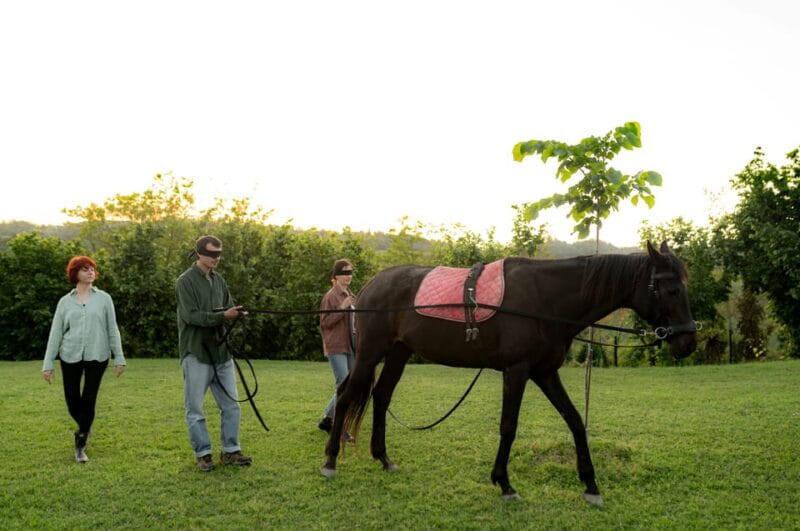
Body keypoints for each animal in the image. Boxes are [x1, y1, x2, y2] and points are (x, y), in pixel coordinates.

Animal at [320, 241, 697, 505]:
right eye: (672, 289)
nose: (688, 342)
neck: (546, 299)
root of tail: (370, 286)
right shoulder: (517, 372)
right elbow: (509, 426)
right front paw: (504, 483)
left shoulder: (545, 372)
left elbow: (576, 421)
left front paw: (590, 485)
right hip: (369, 354)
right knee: (345, 395)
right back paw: (330, 460)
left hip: (398, 353)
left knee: (381, 396)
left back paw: (383, 458)